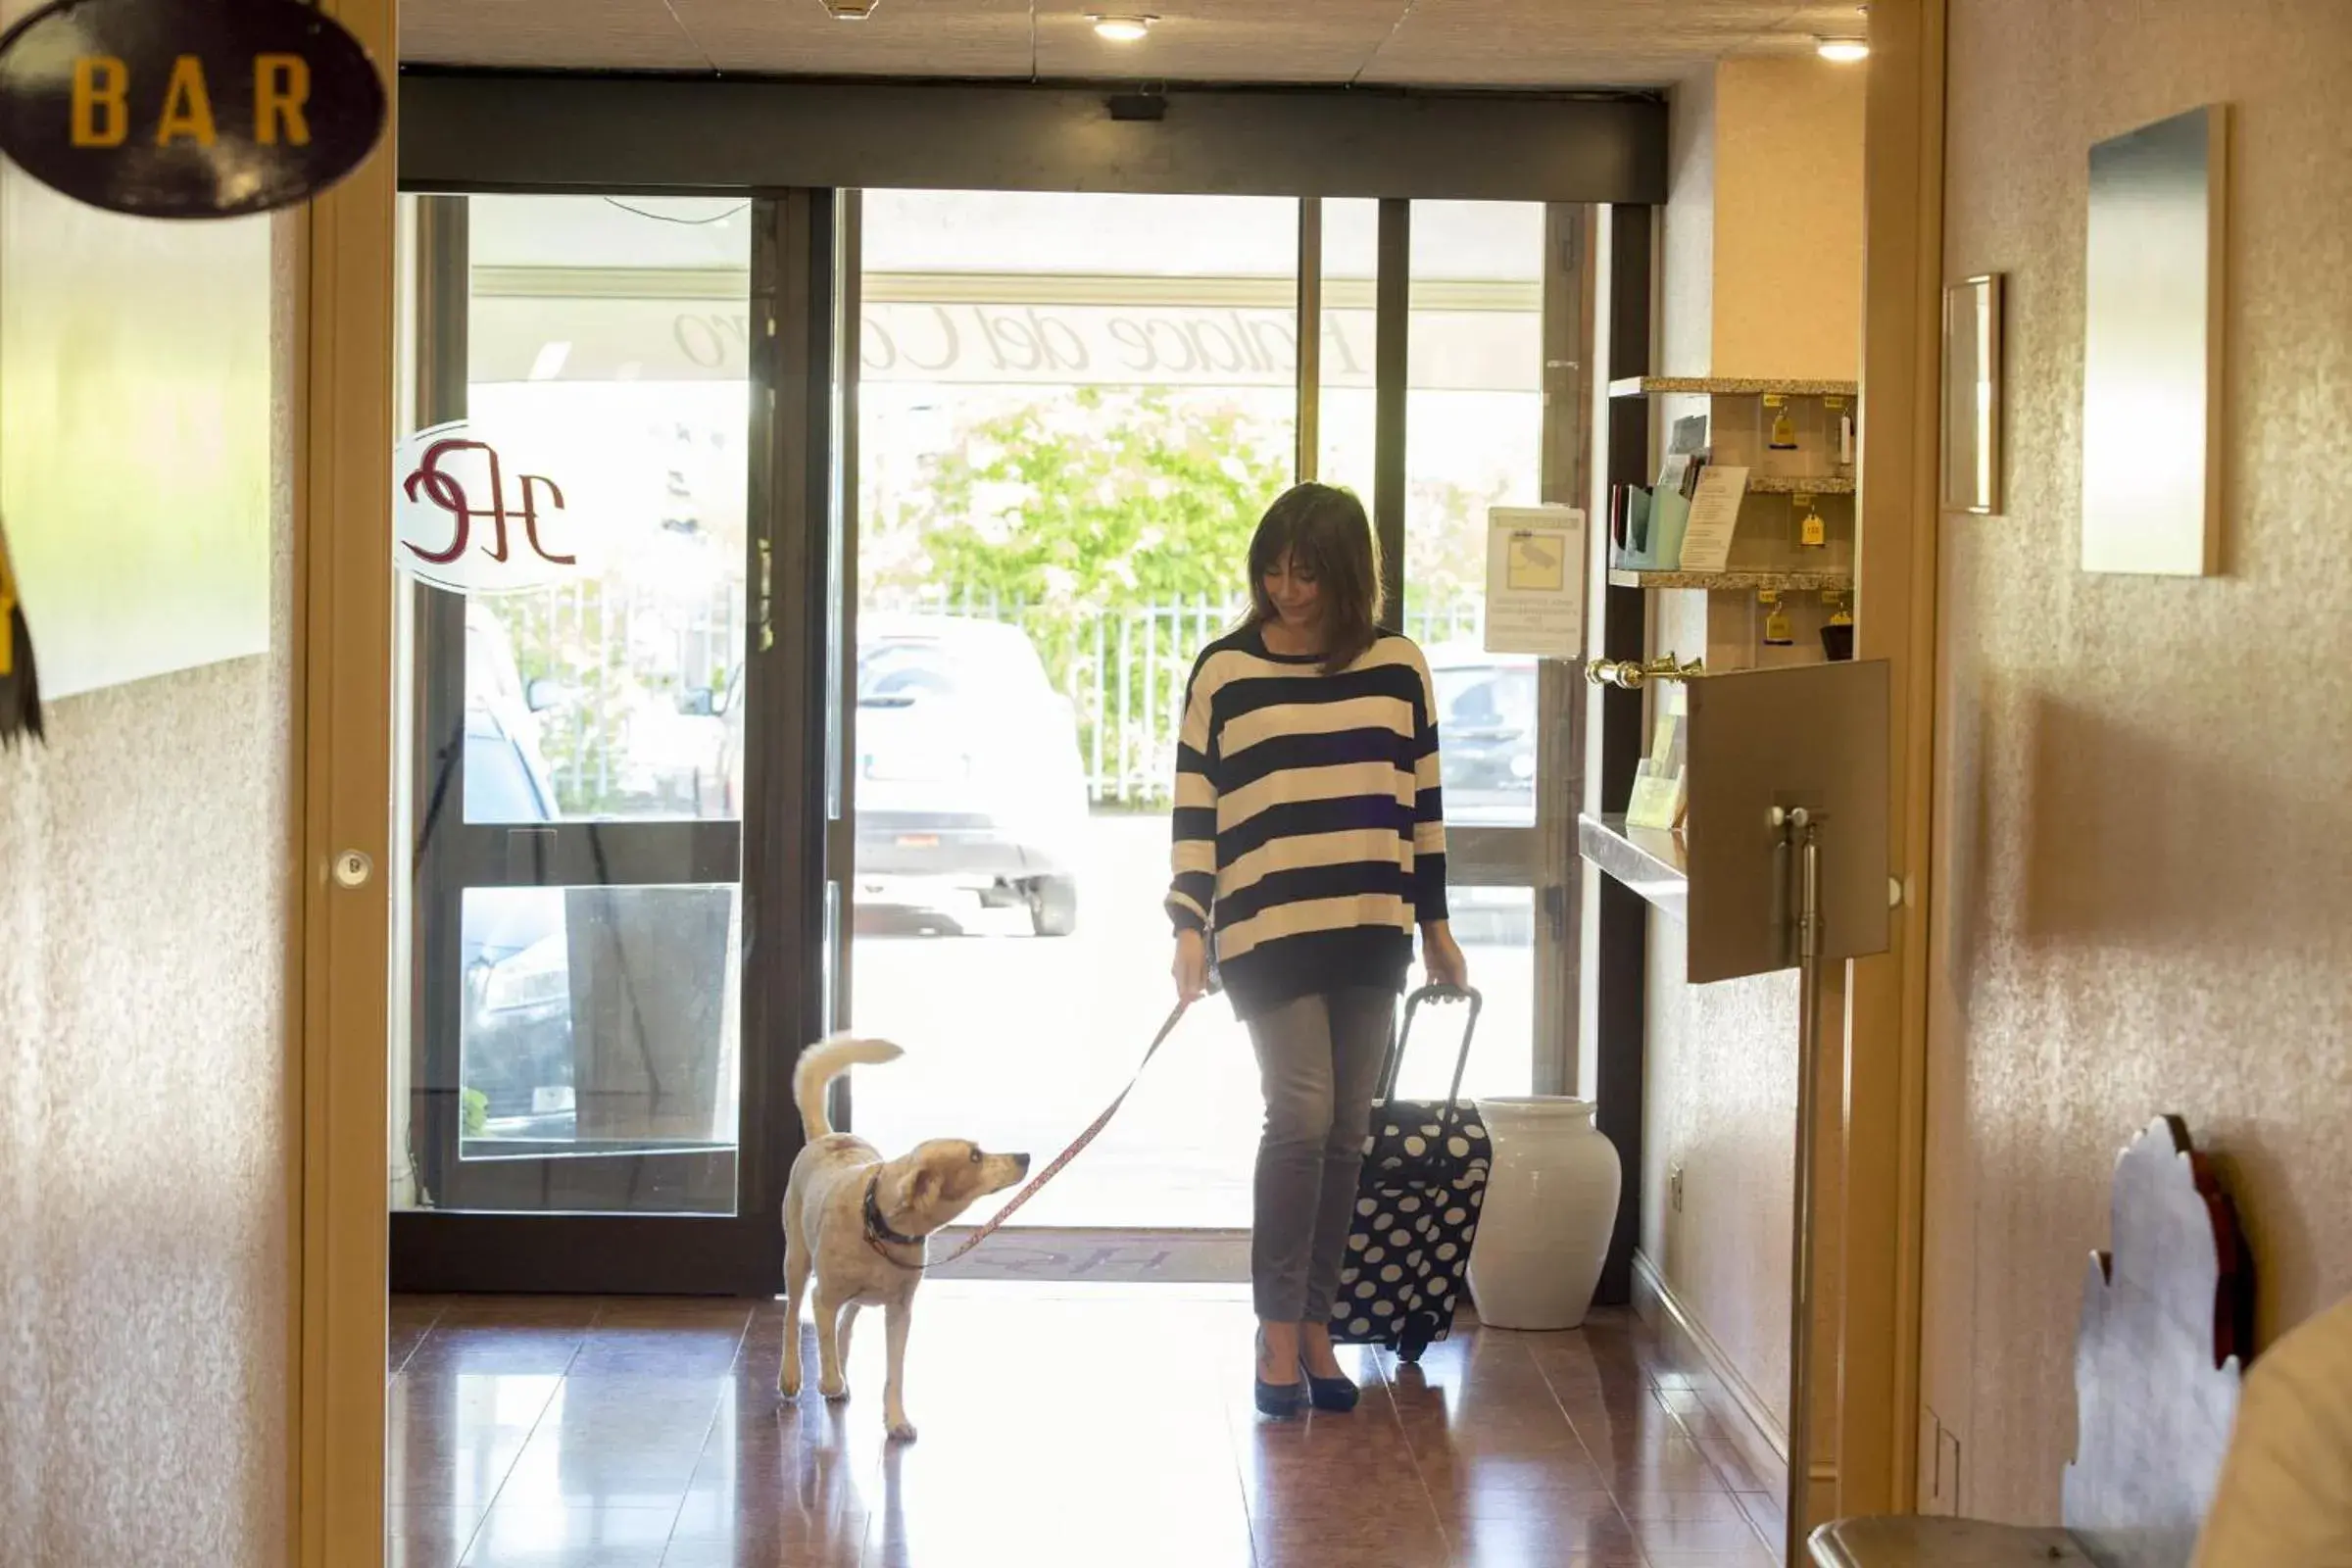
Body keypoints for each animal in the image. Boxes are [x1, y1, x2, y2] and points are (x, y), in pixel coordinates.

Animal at [780, 1034, 1030, 1439]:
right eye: (975, 1156)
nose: (1024, 1156)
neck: (878, 1226)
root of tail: (828, 1135)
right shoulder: (824, 1297)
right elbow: (825, 1348)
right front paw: (829, 1381)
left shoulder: (900, 1312)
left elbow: (894, 1373)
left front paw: (896, 1420)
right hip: (797, 1261)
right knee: (792, 1319)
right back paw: (793, 1376)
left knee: (846, 1323)